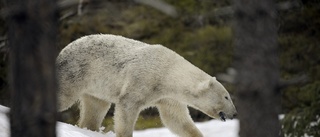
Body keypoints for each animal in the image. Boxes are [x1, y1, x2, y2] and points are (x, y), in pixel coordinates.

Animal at [57, 34, 238, 137]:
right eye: (226, 96)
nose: (234, 113)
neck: (167, 72)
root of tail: (64, 49)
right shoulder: (142, 79)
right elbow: (127, 106)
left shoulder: (167, 97)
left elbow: (176, 120)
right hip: (76, 72)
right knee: (64, 96)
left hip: (95, 87)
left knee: (96, 107)